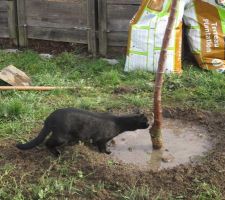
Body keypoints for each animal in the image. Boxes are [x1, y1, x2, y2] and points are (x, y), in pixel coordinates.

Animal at [16, 108, 149, 156]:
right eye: (146, 121)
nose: (149, 125)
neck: (118, 122)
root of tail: (50, 117)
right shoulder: (102, 139)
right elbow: (102, 147)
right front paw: (106, 152)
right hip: (61, 136)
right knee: (47, 143)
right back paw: (57, 153)